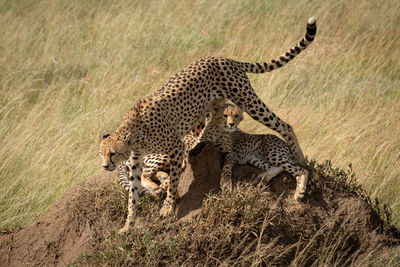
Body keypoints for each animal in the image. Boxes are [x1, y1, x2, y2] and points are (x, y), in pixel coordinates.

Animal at [99, 17, 316, 233]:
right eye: (101, 153)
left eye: (113, 153)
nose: (105, 166)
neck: (135, 134)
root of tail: (223, 58)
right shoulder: (136, 161)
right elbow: (133, 194)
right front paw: (128, 225)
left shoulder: (175, 148)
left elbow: (174, 180)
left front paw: (168, 207)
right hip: (210, 109)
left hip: (247, 100)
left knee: (285, 126)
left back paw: (300, 163)